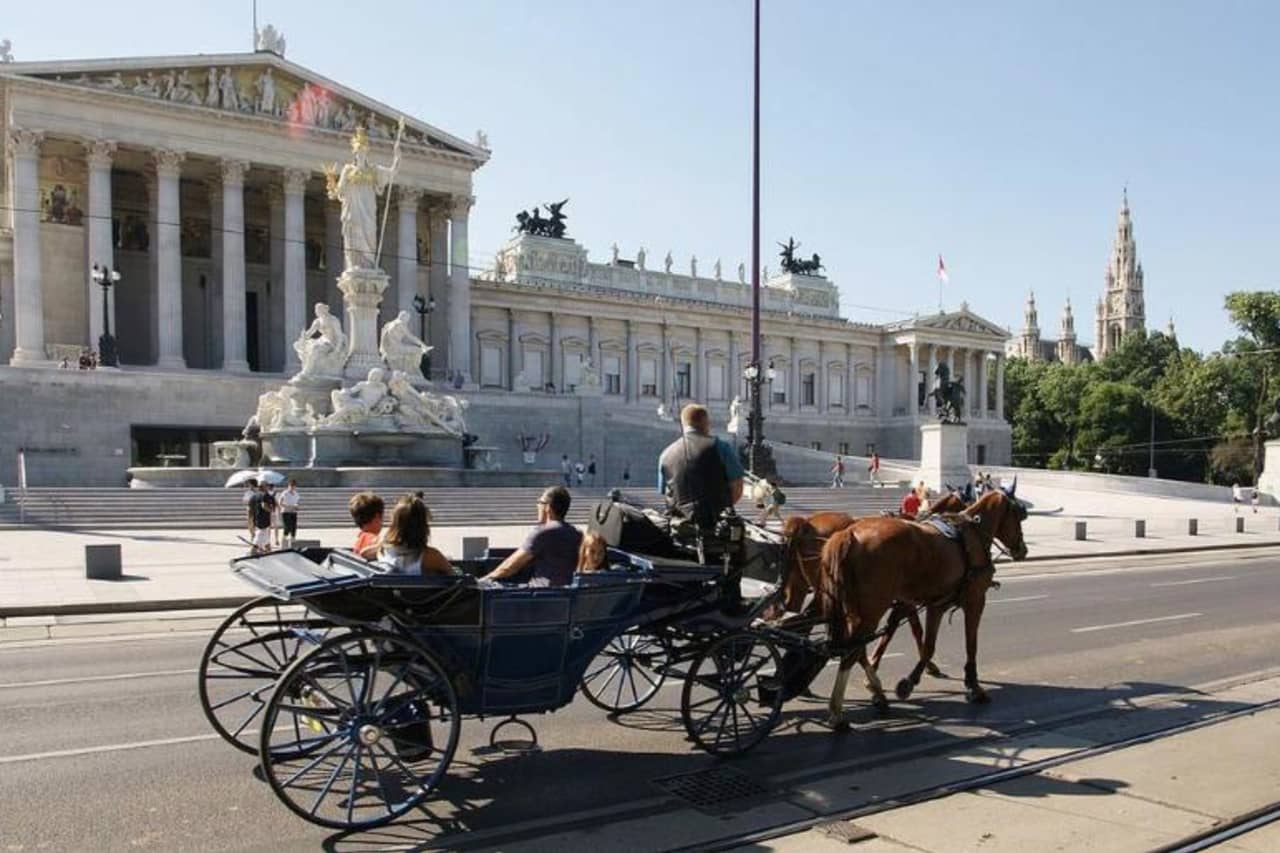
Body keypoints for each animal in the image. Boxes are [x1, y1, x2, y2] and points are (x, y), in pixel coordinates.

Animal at [814, 484, 1034, 722]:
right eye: (1018, 515)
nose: (1023, 550)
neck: (973, 535)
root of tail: (849, 533)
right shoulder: (974, 600)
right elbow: (969, 644)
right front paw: (972, 686)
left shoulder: (933, 605)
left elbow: (923, 642)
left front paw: (913, 676)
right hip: (872, 610)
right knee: (851, 652)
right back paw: (838, 710)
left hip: (855, 611)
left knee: (855, 649)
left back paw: (876, 693)